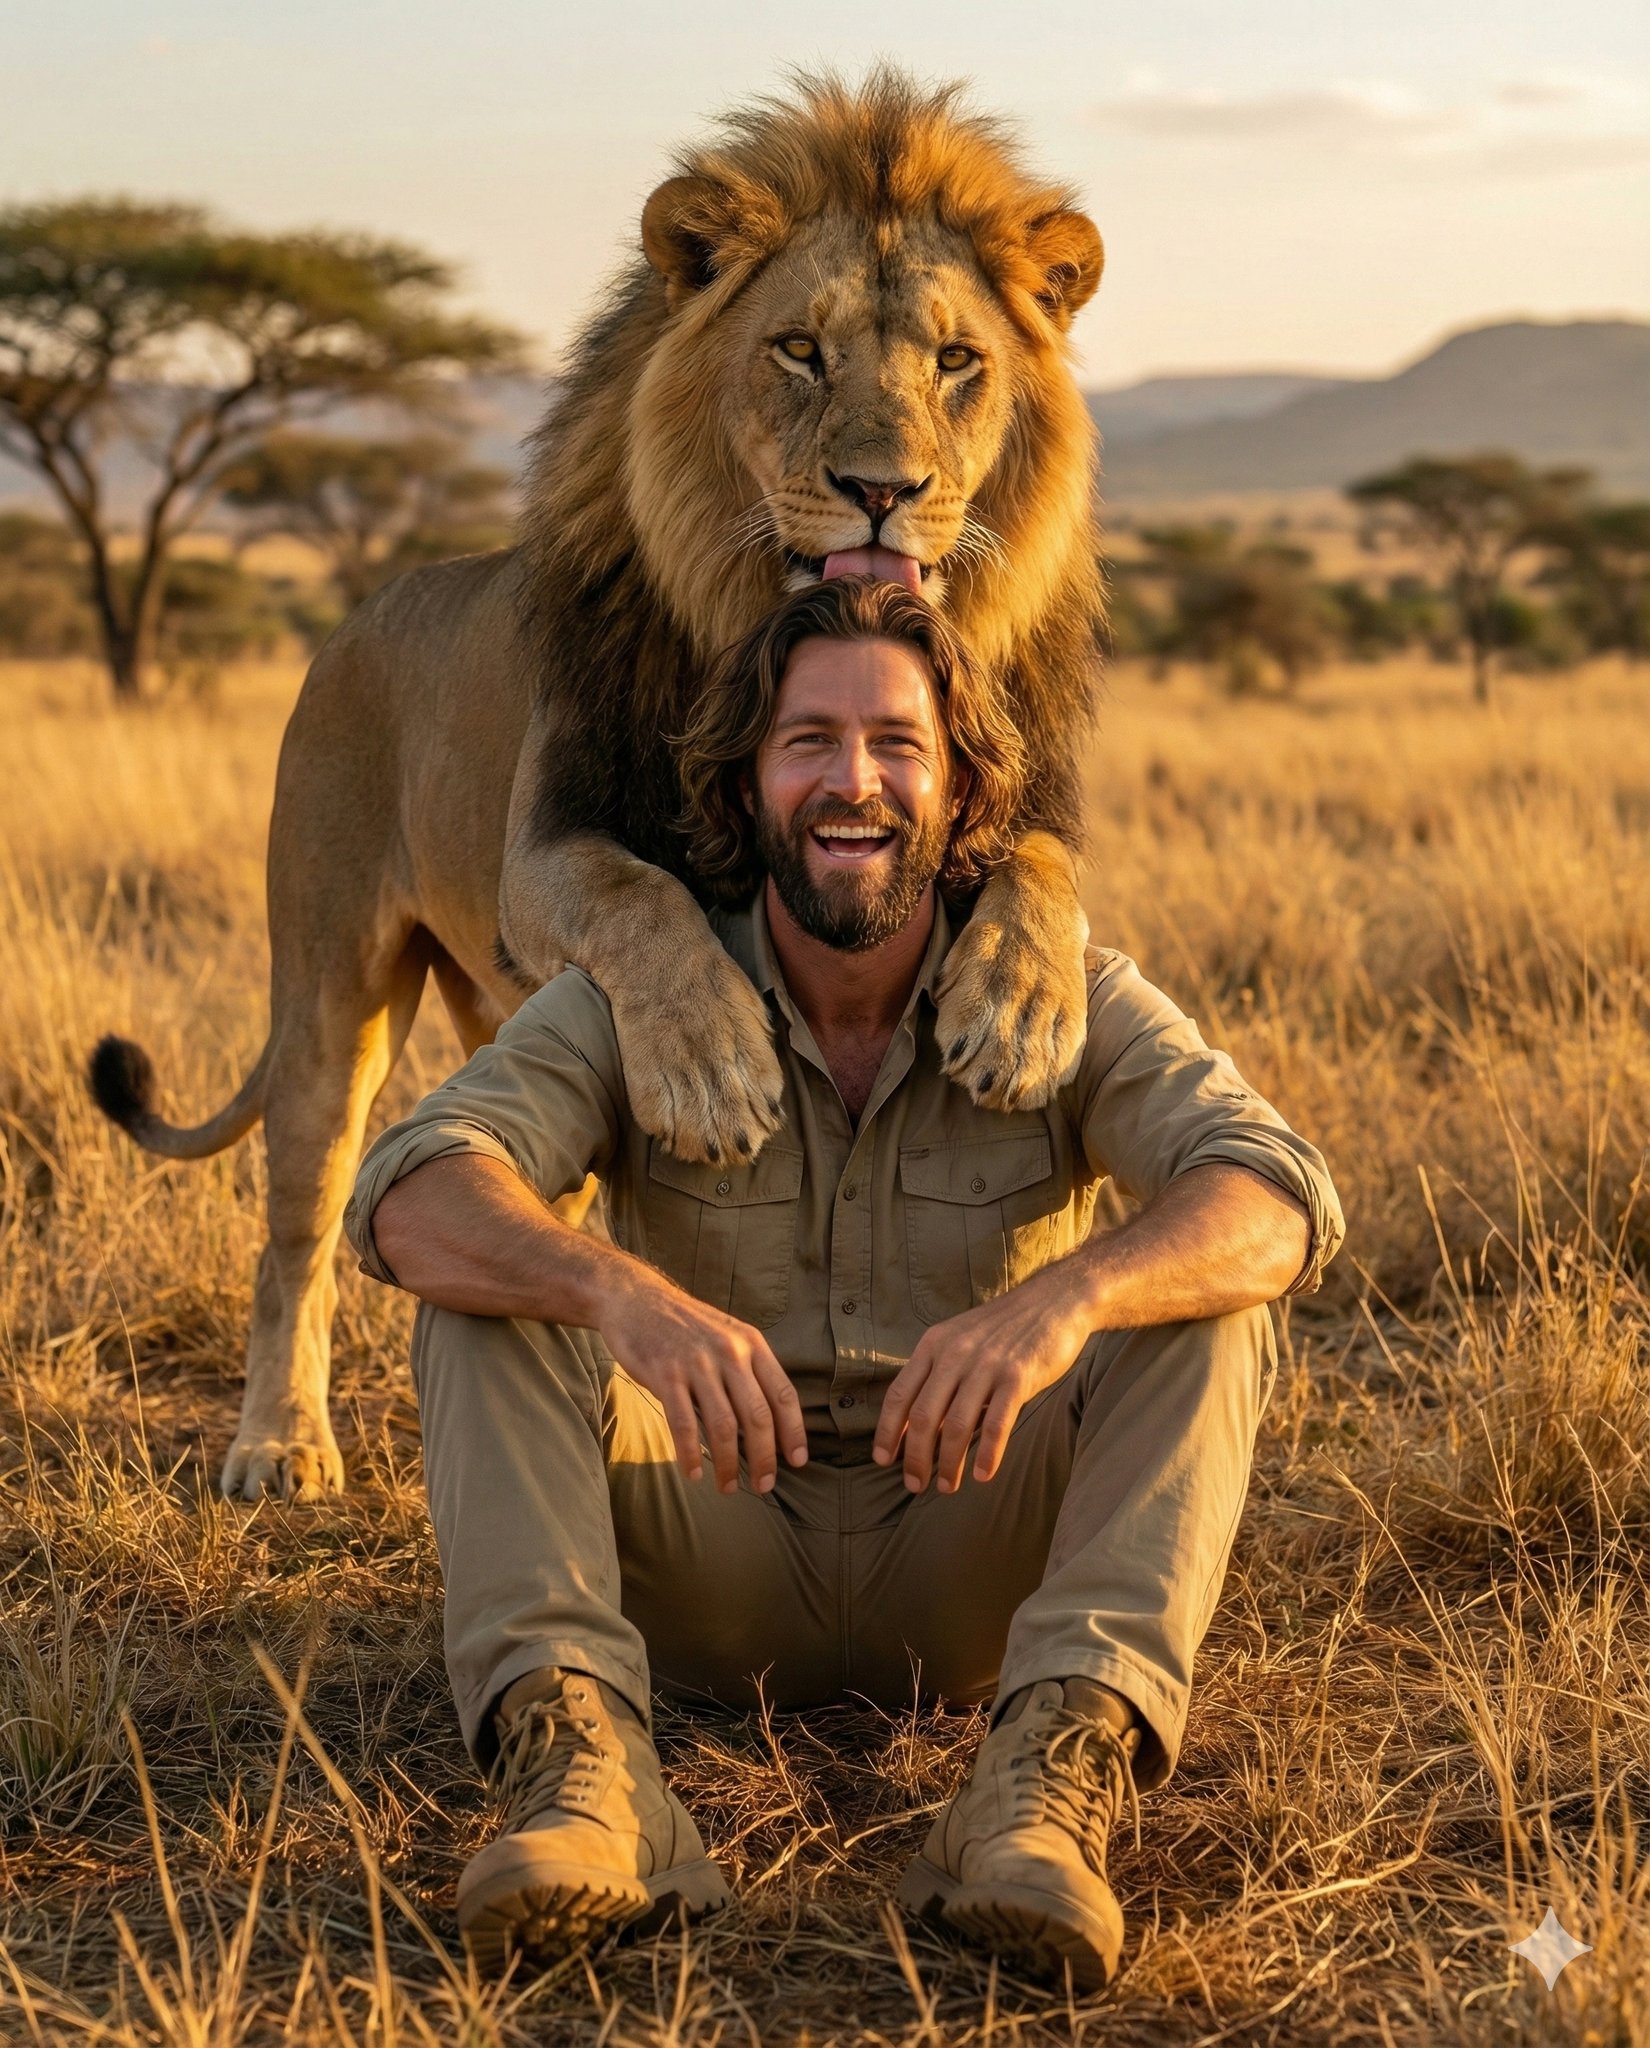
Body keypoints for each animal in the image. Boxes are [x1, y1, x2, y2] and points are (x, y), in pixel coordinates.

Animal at [89, 68, 1108, 1502]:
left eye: (958, 363)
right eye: (800, 350)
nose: (882, 490)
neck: (752, 621)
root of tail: (358, 613)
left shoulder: (1018, 807)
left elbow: (1044, 870)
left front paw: (1017, 1015)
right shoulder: (550, 847)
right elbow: (645, 898)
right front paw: (718, 1066)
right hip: (330, 980)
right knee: (301, 1217)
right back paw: (280, 1445)